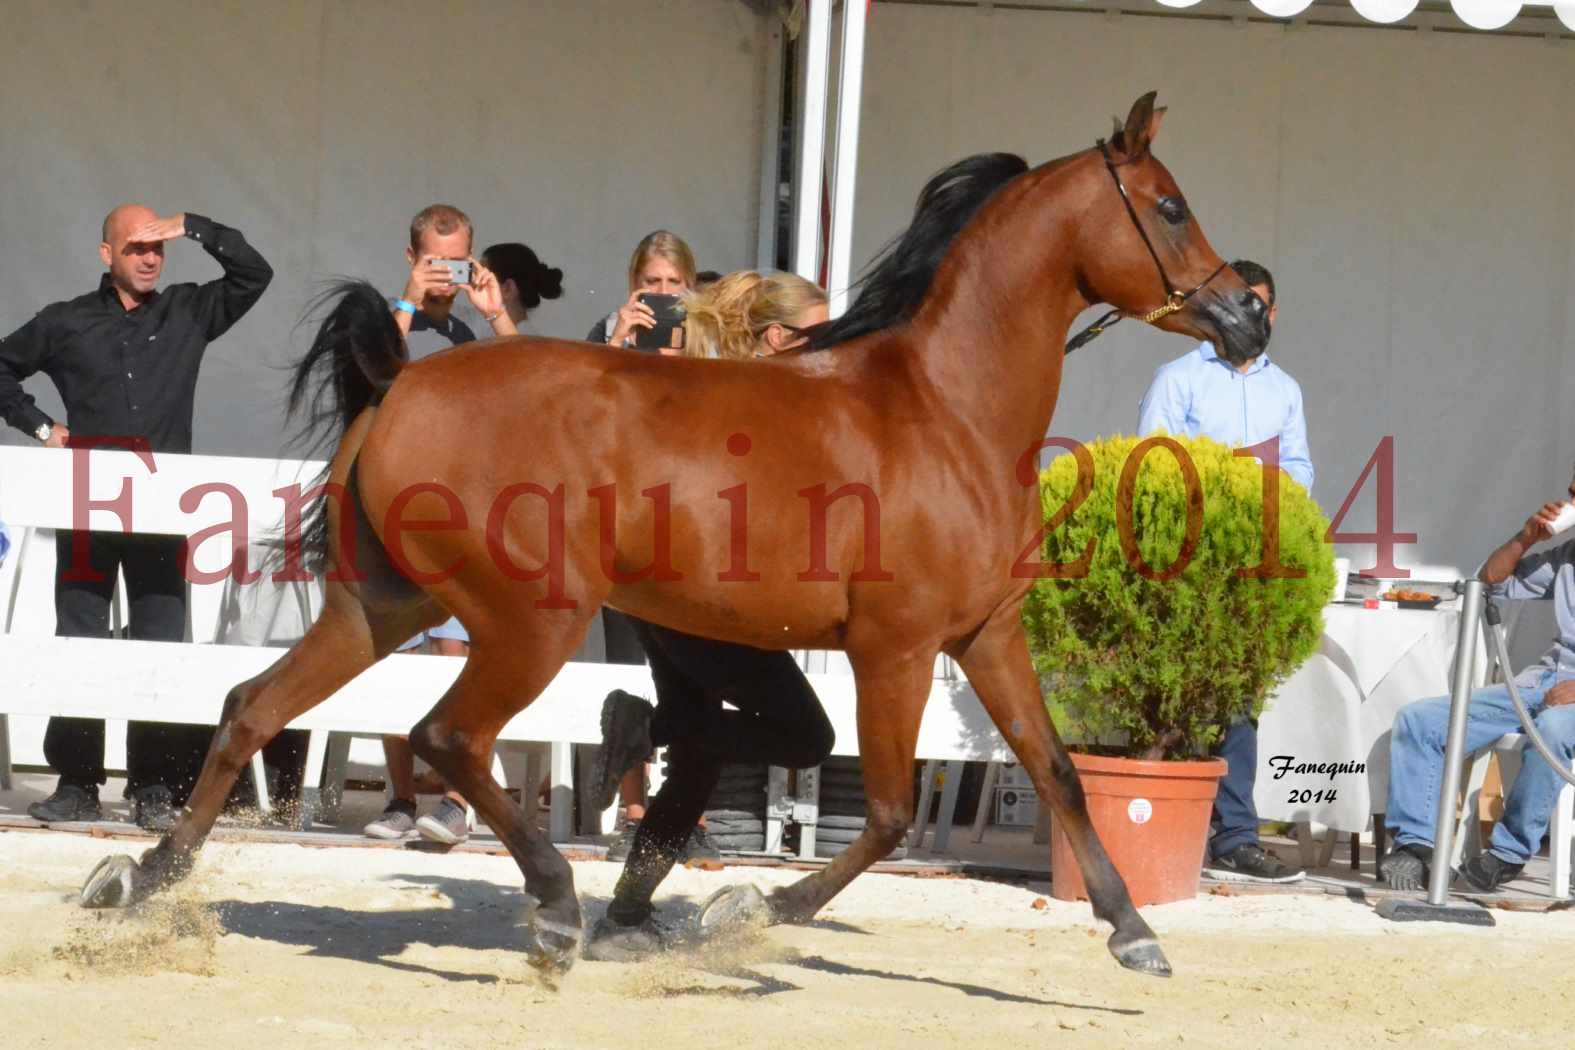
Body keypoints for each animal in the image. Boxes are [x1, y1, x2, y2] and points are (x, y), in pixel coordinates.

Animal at [83, 94, 1266, 982]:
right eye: (1168, 207)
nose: (1247, 319)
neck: (946, 408)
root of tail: (403, 379)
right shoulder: (896, 649)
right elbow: (886, 815)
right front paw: (751, 908)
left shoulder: (986, 635)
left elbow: (1061, 772)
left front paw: (1135, 933)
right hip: (532, 621)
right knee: (446, 737)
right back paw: (558, 906)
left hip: (383, 607)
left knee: (253, 707)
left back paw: (142, 880)